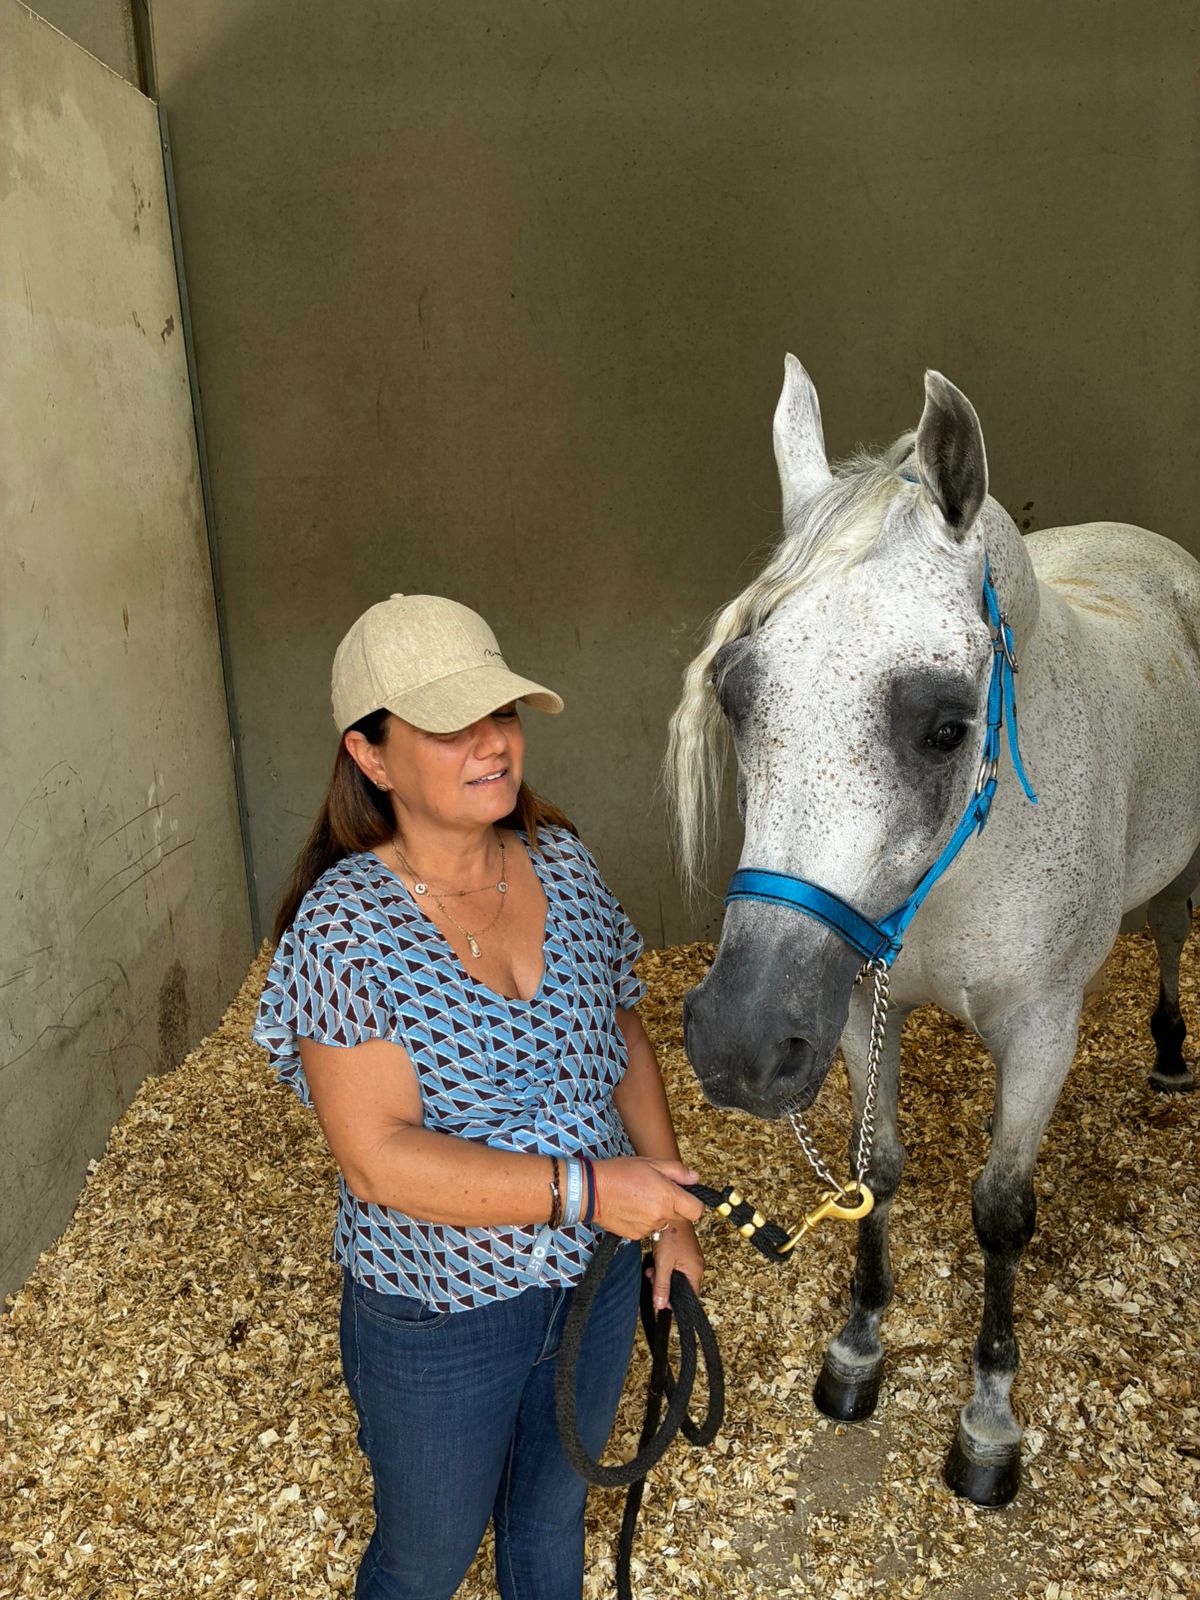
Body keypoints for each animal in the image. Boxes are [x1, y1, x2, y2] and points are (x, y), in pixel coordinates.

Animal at [667, 356, 1200, 1506]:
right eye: (736, 695)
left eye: (948, 726)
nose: (738, 1041)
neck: (970, 861)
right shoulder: (859, 1006)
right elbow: (879, 1171)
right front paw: (859, 1347)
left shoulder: (1042, 1030)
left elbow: (1000, 1209)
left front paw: (988, 1419)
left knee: (1175, 933)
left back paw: (1174, 1051)